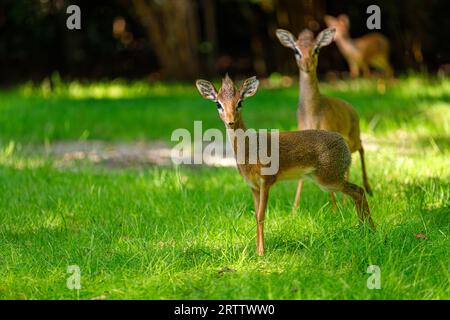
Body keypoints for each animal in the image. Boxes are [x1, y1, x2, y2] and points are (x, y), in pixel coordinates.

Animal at [195, 74, 374, 255]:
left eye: (240, 102)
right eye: (218, 103)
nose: (231, 121)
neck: (250, 152)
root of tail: (344, 145)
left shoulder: (267, 180)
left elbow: (261, 215)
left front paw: (261, 253)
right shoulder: (253, 185)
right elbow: (255, 215)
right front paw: (256, 250)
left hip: (328, 178)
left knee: (358, 189)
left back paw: (369, 229)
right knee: (357, 191)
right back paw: (365, 230)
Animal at [276, 28, 374, 212]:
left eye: (317, 49)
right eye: (296, 50)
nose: (307, 64)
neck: (313, 114)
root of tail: (352, 109)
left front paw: (335, 210)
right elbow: (301, 177)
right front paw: (294, 210)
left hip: (353, 136)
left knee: (361, 148)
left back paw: (364, 191)